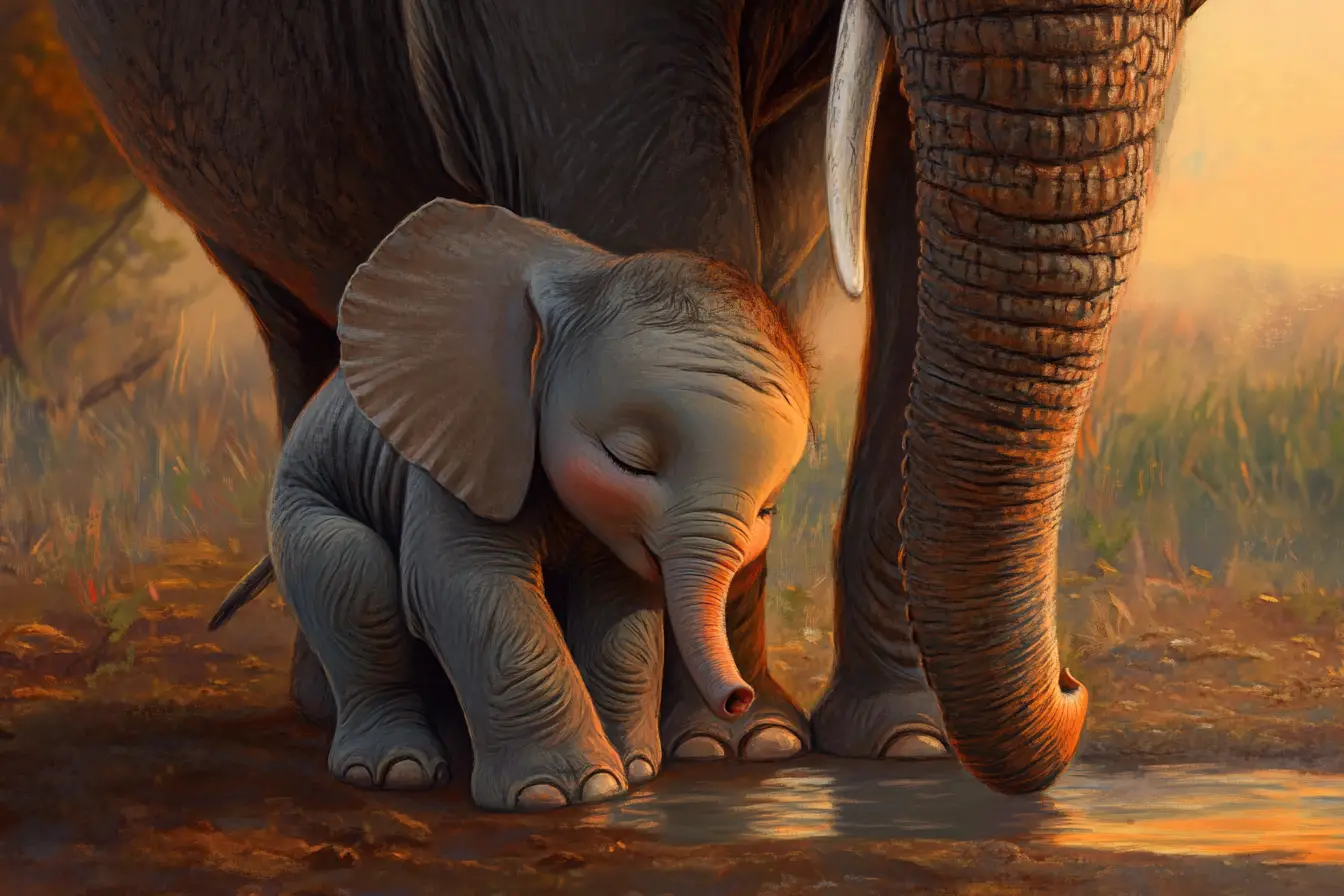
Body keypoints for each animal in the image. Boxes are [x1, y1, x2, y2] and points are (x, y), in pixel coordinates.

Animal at [239, 197, 811, 810]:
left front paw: (631, 771)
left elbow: (618, 603)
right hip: (303, 493)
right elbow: (464, 578)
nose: (737, 698)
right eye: (629, 461)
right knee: (350, 568)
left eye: (766, 512)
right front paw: (563, 791)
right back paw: (397, 771)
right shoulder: (465, 440)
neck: (587, 283)